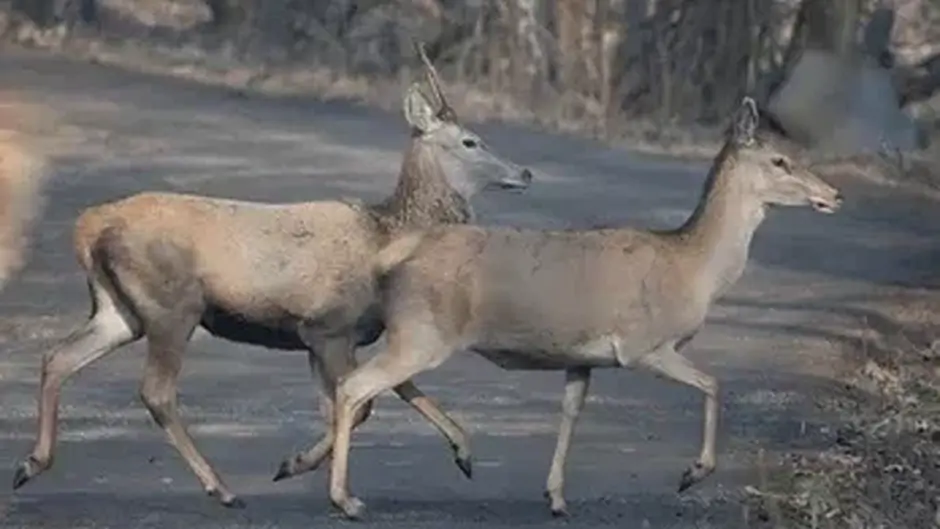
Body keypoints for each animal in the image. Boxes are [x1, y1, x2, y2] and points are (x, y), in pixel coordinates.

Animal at [11, 43, 533, 508]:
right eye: (470, 140)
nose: (525, 172)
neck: (385, 237)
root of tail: (87, 227)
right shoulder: (327, 325)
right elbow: (361, 403)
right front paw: (307, 473)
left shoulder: (336, 334)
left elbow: (387, 390)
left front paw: (463, 451)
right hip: (172, 304)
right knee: (156, 392)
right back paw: (221, 488)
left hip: (119, 309)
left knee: (58, 357)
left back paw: (30, 463)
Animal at [322, 97, 844, 520]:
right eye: (780, 160)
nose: (834, 194)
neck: (693, 270)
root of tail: (393, 255)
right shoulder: (642, 344)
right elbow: (713, 383)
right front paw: (692, 473)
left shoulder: (582, 357)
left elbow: (572, 411)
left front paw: (555, 496)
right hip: (423, 330)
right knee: (355, 386)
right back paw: (346, 499)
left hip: (415, 332)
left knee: (382, 385)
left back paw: (454, 455)